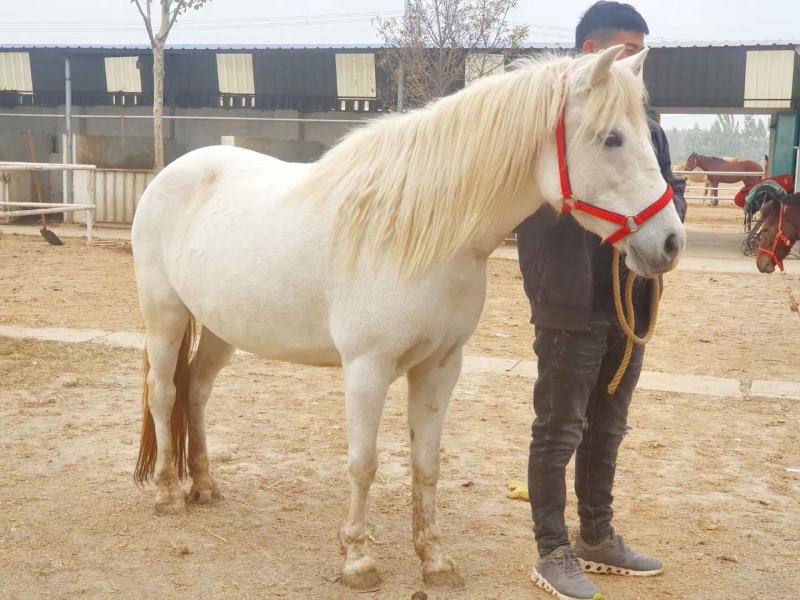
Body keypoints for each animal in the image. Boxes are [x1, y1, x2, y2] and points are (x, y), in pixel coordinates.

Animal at [131, 45, 685, 592]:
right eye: (612, 138)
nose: (670, 242)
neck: (419, 232)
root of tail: (170, 174)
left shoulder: (440, 367)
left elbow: (427, 464)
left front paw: (435, 561)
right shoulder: (366, 369)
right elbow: (364, 464)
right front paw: (357, 560)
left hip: (219, 327)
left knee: (196, 391)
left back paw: (204, 485)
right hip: (165, 314)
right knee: (164, 393)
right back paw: (168, 494)